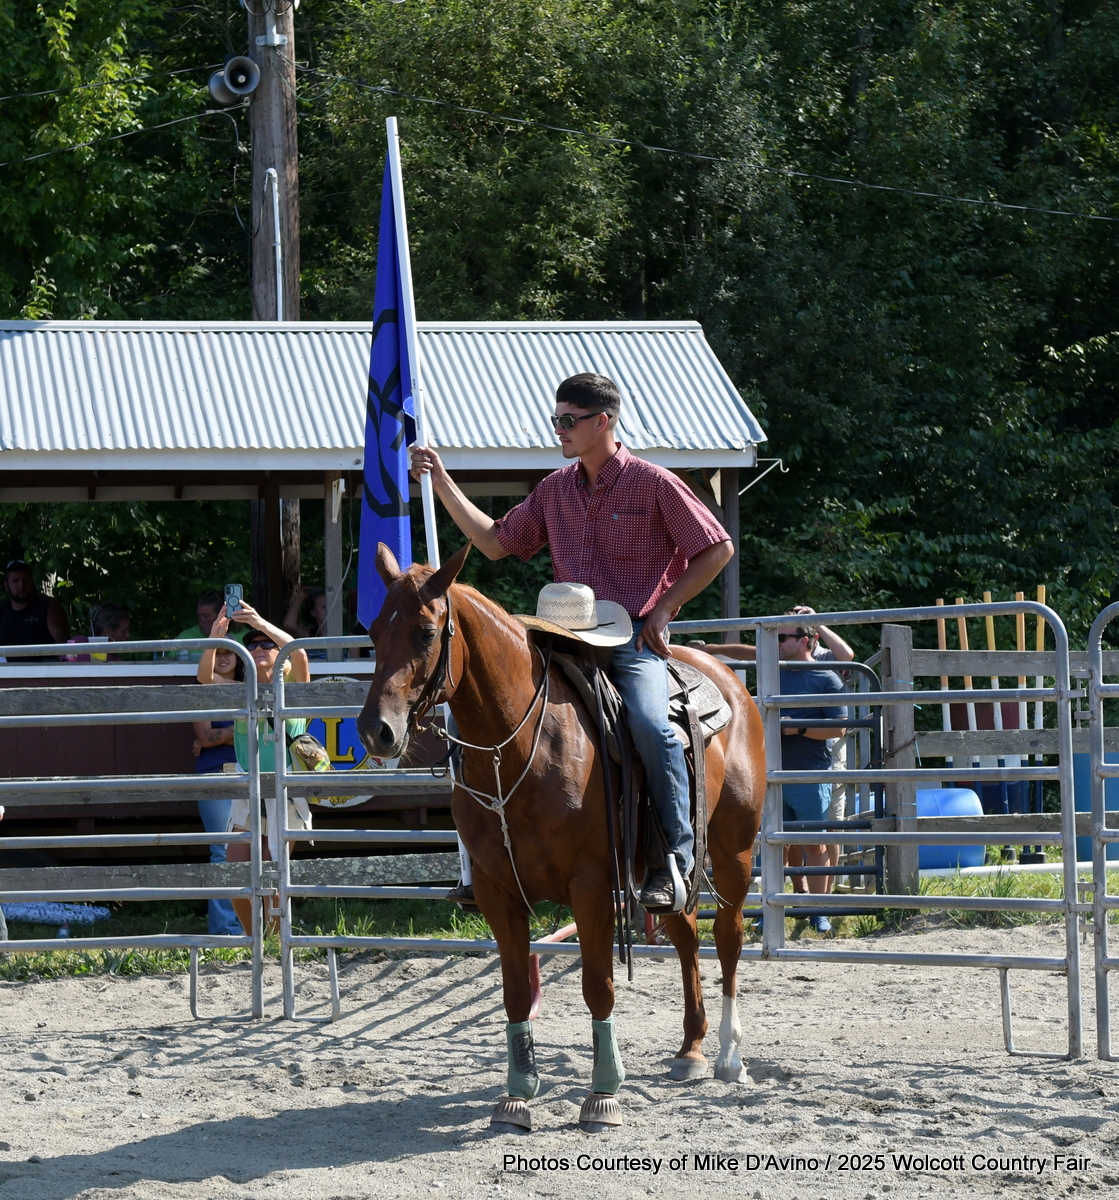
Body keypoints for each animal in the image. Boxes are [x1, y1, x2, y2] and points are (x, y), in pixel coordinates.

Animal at [357, 542, 766, 1132]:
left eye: (427, 631)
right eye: (371, 629)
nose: (376, 730)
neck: (518, 744)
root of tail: (728, 679)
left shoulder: (591, 886)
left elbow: (598, 987)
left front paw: (603, 1093)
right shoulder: (497, 892)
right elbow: (514, 993)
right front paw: (517, 1095)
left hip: (735, 849)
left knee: (729, 937)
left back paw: (730, 1058)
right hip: (667, 871)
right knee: (685, 932)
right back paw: (690, 1048)